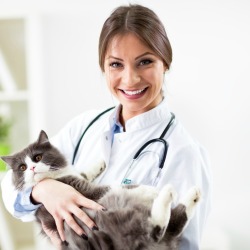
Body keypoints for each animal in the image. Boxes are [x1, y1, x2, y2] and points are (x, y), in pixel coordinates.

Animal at [1, 131, 201, 250]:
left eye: (38, 157)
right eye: (22, 168)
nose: (32, 168)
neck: (52, 178)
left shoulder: (76, 178)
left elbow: (84, 172)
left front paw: (99, 163)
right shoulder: (85, 192)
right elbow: (114, 186)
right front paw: (147, 188)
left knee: (173, 225)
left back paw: (193, 195)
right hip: (114, 218)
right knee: (157, 228)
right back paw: (167, 193)